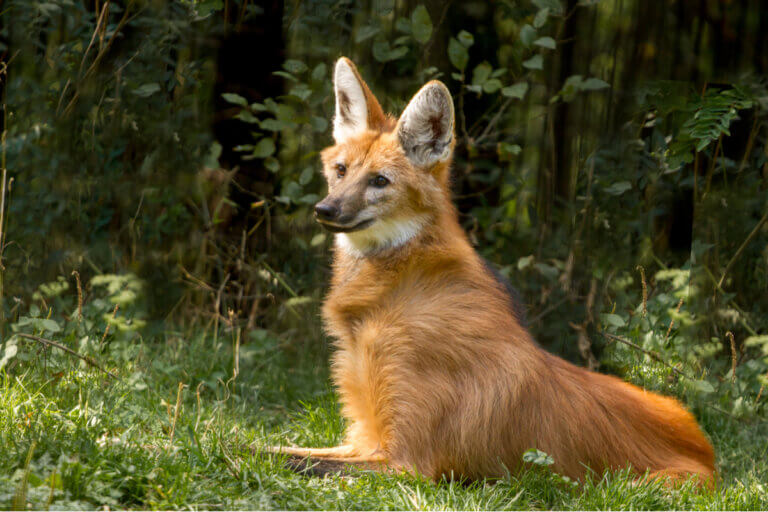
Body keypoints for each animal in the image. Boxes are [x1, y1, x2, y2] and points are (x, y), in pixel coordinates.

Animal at [269, 57, 715, 486]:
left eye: (380, 180)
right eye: (341, 171)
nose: (325, 210)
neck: (392, 295)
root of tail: (708, 452)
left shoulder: (405, 464)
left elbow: (272, 457)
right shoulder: (363, 440)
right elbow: (270, 446)